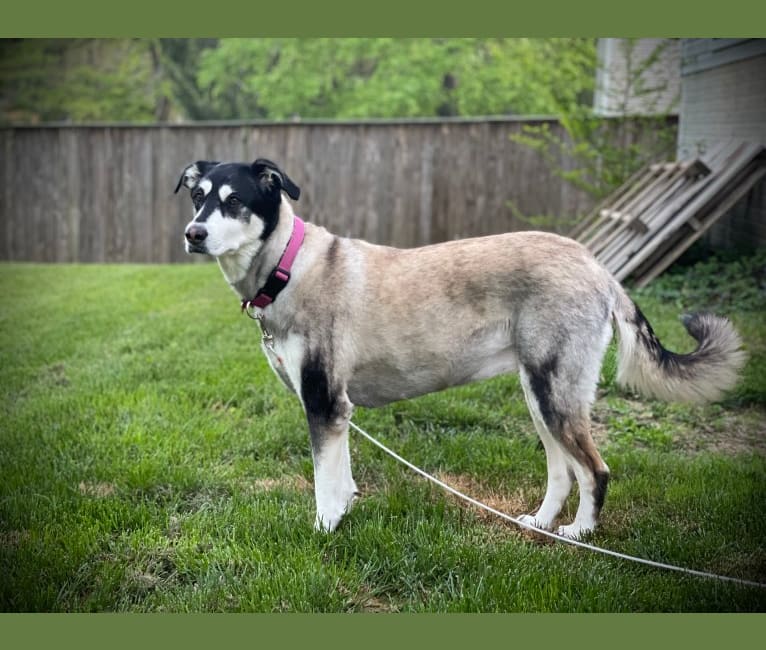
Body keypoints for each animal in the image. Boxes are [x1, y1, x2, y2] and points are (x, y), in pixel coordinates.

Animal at [177, 156, 748, 536]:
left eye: (234, 201)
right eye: (198, 197)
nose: (193, 233)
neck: (287, 264)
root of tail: (596, 266)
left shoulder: (324, 403)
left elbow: (324, 483)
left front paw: (324, 530)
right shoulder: (337, 411)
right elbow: (342, 479)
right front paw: (342, 515)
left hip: (555, 394)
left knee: (594, 470)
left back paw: (580, 534)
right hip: (540, 394)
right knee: (562, 471)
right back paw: (540, 523)